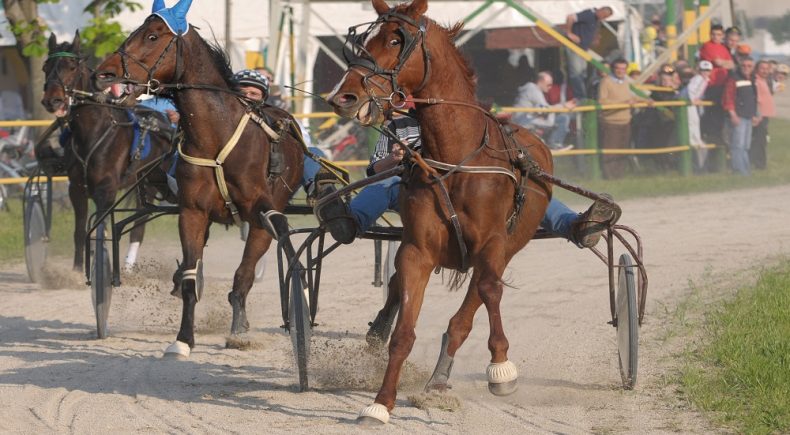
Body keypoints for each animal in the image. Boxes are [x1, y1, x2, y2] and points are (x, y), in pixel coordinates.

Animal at [41, 32, 176, 272]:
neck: (93, 132)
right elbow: (80, 231)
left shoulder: (107, 189)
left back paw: (129, 267)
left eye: (72, 67)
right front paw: (77, 271)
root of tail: (164, 119)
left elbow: (99, 228)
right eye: (45, 67)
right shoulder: (77, 189)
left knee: (140, 224)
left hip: (153, 181)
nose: (52, 100)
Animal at [93, 4, 304, 358]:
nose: (104, 74)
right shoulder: (192, 212)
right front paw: (182, 339)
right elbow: (191, 276)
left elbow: (243, 276)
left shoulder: (263, 213)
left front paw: (238, 332)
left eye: (152, 36)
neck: (216, 136)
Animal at [328, 0, 556, 426]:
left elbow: (488, 292)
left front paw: (501, 368)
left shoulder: (492, 243)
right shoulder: (417, 249)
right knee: (397, 287)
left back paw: (445, 373)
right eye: (364, 39)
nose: (344, 96)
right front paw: (380, 403)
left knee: (476, 299)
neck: (455, 159)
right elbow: (403, 329)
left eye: (396, 40)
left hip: (509, 246)